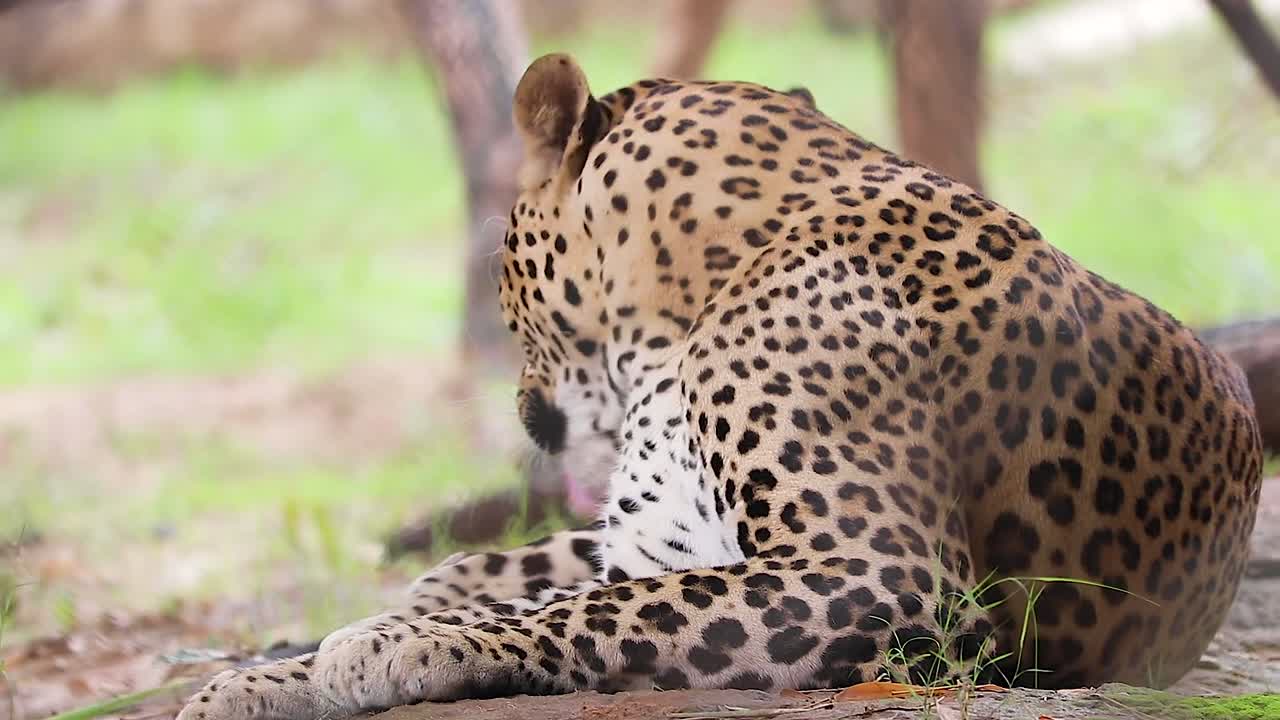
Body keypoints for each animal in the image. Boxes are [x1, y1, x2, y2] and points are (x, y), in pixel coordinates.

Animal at [177, 53, 1263, 720]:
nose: (522, 406)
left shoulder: (881, 574)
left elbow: (585, 613)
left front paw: (390, 649)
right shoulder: (656, 540)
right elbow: (544, 584)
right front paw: (259, 679)